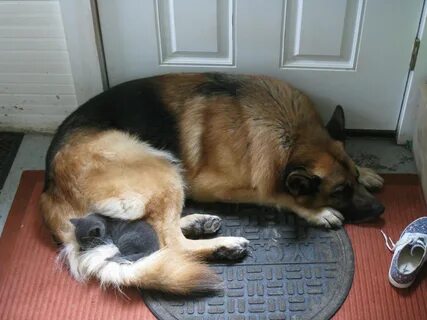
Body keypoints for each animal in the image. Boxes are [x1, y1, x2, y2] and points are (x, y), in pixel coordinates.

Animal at [41, 73, 384, 296]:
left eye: (353, 180)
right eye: (339, 193)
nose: (380, 209)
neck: (292, 137)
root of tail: (49, 189)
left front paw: (368, 171)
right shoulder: (214, 185)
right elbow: (275, 193)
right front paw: (317, 212)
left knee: (161, 228)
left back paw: (197, 222)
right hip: (164, 167)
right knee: (170, 242)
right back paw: (223, 246)